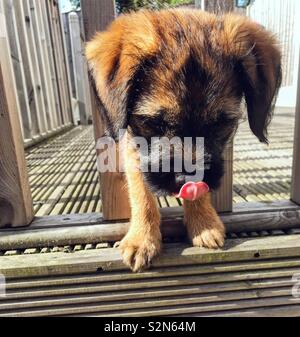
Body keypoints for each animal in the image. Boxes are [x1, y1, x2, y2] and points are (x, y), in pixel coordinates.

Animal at [86, 8, 282, 270]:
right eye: (155, 123)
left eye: (220, 124)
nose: (185, 178)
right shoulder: (134, 148)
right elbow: (141, 193)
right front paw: (142, 239)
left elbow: (201, 189)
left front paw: (203, 223)